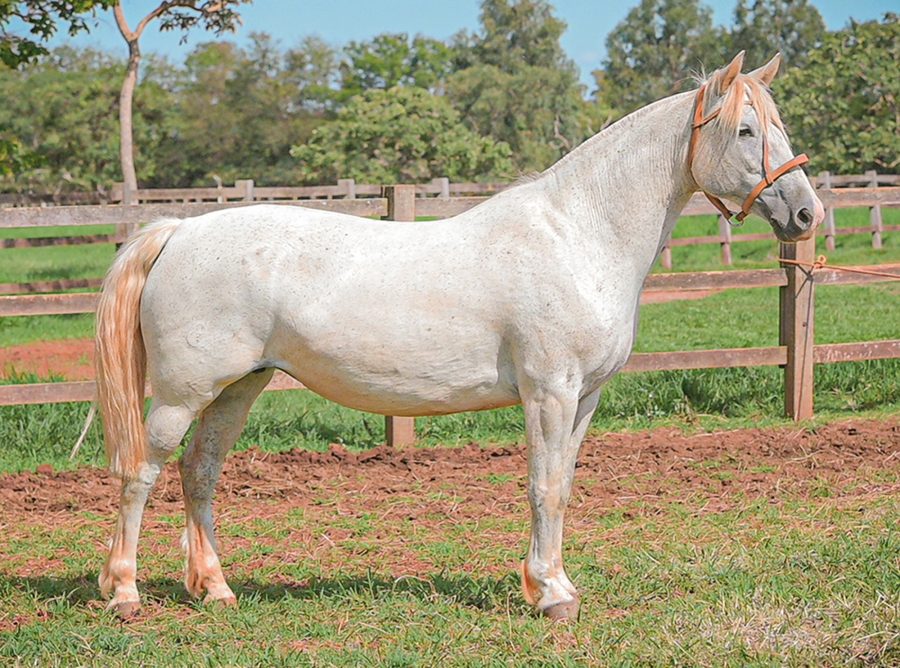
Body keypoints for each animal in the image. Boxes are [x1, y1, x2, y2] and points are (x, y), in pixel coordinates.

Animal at [94, 52, 823, 621]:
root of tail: (180, 231)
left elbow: (563, 486)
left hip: (237, 388)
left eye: (779, 126)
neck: (577, 233)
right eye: (745, 129)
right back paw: (125, 593)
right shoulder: (549, 393)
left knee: (199, 472)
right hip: (182, 396)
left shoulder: (583, 398)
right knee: (141, 472)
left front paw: (556, 584)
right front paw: (550, 595)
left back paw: (215, 589)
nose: (806, 212)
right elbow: (542, 486)